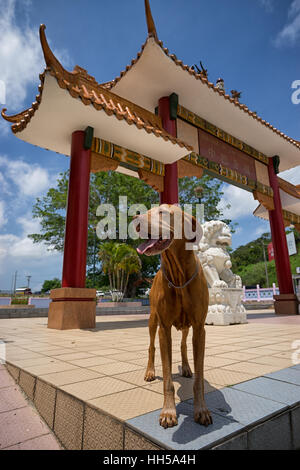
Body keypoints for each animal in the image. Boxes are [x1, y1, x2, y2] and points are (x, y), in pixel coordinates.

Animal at [136, 204, 211, 428]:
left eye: (163, 212)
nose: (135, 220)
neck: (178, 276)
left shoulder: (199, 328)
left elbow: (199, 378)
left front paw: (201, 409)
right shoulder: (164, 328)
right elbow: (168, 378)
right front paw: (169, 412)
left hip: (187, 326)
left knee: (184, 344)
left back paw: (186, 367)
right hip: (152, 320)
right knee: (151, 346)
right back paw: (150, 371)